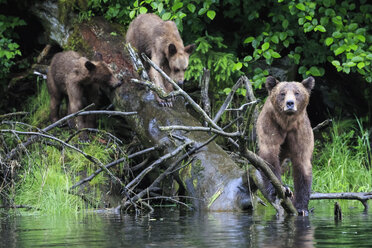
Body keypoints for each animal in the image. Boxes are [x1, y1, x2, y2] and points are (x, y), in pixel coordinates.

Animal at [258, 75, 316, 215]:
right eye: (282, 93)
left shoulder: (300, 131)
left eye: (297, 92)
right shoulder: (270, 125)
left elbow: (302, 163)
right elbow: (269, 156)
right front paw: (280, 189)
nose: (290, 103)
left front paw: (301, 207)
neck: (287, 123)